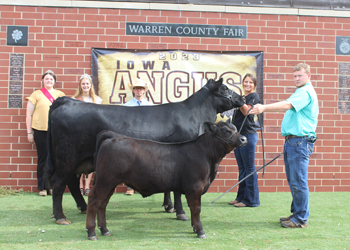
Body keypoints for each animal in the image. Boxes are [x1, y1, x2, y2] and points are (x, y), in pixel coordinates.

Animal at [45, 78, 243, 225]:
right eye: (225, 88)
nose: (242, 98)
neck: (195, 115)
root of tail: (67, 101)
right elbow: (177, 191)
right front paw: (180, 212)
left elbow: (169, 187)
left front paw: (168, 206)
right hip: (67, 158)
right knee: (58, 183)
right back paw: (61, 216)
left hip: (76, 161)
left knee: (71, 182)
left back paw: (82, 207)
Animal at [86, 122, 247, 239]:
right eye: (225, 130)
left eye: (235, 128)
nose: (243, 139)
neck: (208, 158)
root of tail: (113, 136)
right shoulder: (194, 188)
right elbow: (196, 209)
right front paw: (200, 231)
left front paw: (194, 228)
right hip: (105, 180)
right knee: (94, 201)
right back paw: (91, 232)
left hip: (110, 183)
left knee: (103, 204)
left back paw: (104, 230)